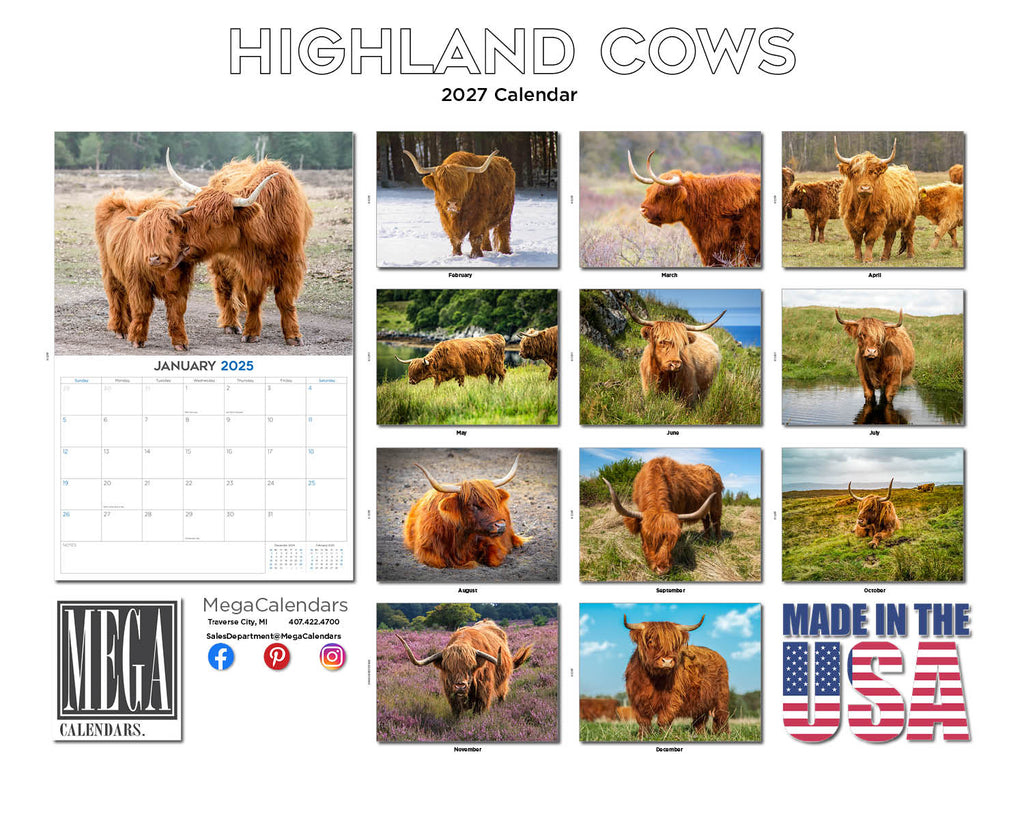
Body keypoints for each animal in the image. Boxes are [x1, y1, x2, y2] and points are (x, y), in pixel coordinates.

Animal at [94, 191, 194, 351]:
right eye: (145, 236)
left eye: (169, 231)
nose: (154, 258)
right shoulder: (139, 282)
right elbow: (142, 309)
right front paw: (136, 339)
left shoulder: (179, 285)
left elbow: (176, 311)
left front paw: (180, 342)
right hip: (109, 268)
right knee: (115, 294)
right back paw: (120, 329)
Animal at [166, 149, 313, 345]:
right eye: (192, 212)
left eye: (217, 221)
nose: (182, 245)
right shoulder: (249, 266)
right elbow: (254, 298)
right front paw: (251, 332)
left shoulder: (291, 264)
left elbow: (285, 299)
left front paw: (293, 335)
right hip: (221, 264)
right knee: (225, 290)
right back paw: (231, 324)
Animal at [396, 620, 533, 717]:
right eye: (448, 668)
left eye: (470, 667)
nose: (460, 686)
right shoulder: (452, 696)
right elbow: (458, 712)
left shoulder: (483, 693)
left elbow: (478, 712)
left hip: (503, 682)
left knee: (502, 694)